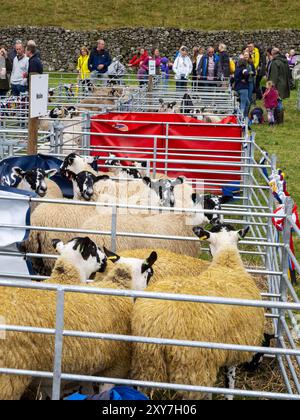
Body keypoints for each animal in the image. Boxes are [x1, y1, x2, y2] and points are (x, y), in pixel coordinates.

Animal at [131, 223, 264, 400]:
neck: (227, 262)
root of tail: (161, 322)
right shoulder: (235, 347)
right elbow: (230, 381)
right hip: (192, 367)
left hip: (147, 360)